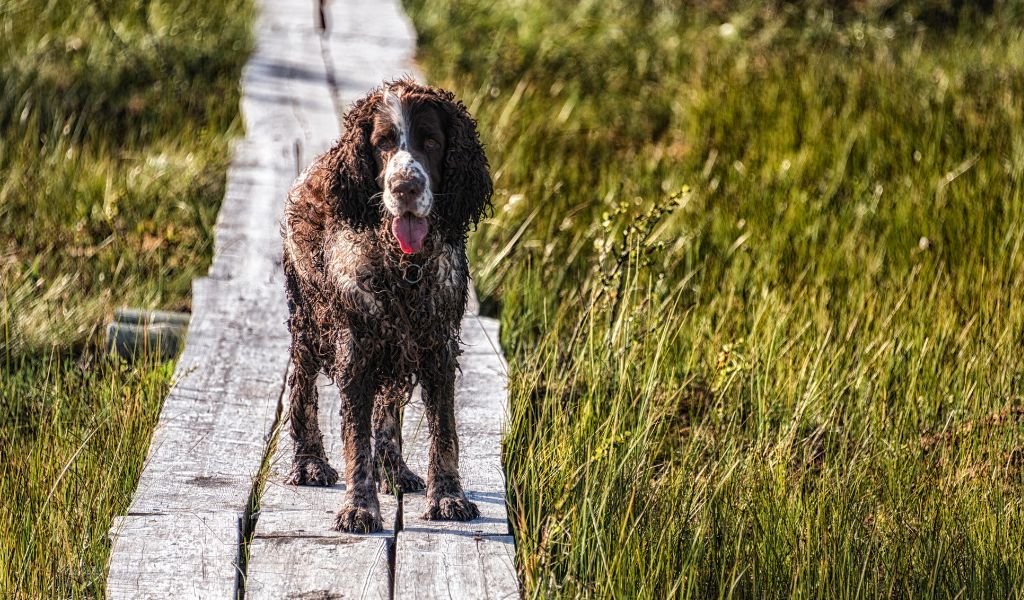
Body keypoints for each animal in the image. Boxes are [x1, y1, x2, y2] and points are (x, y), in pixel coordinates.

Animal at [278, 80, 489, 532]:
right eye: (382, 144)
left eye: (431, 142)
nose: (405, 188)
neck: (403, 267)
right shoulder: (355, 349)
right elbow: (355, 439)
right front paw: (359, 507)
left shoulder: (436, 347)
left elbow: (443, 431)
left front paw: (448, 496)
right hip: (309, 321)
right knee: (301, 387)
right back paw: (309, 463)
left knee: (387, 408)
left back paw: (394, 470)